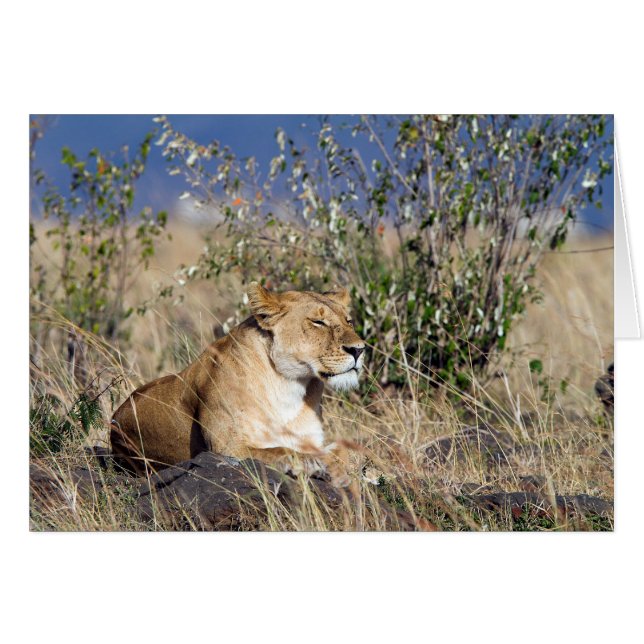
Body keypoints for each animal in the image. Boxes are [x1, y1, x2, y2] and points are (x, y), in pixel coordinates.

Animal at [110, 282, 365, 486]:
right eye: (318, 321)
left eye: (349, 321)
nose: (359, 350)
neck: (289, 386)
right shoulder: (227, 449)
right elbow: (279, 451)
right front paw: (312, 464)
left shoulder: (311, 439)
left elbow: (348, 450)